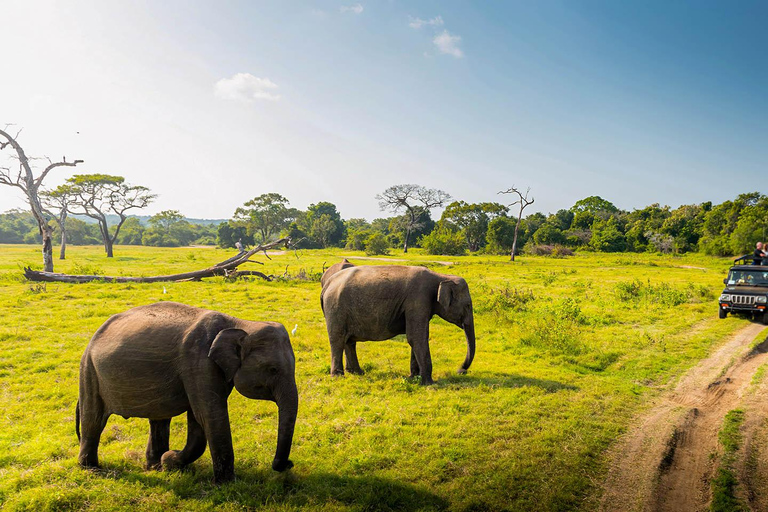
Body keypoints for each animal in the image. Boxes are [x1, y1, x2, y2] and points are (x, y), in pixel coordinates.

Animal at [76, 302, 296, 482]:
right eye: (273, 369)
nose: (288, 464)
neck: (240, 323)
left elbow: (198, 418)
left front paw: (169, 462)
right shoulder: (198, 361)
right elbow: (209, 415)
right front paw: (226, 483)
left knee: (159, 419)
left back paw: (154, 466)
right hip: (89, 370)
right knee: (93, 418)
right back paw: (92, 470)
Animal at [318, 260, 474, 384]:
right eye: (468, 305)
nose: (461, 370)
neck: (441, 276)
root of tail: (327, 284)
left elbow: (415, 337)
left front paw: (413, 377)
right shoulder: (418, 300)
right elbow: (416, 337)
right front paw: (429, 383)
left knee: (349, 341)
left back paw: (357, 372)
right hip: (336, 308)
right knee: (338, 340)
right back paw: (338, 377)